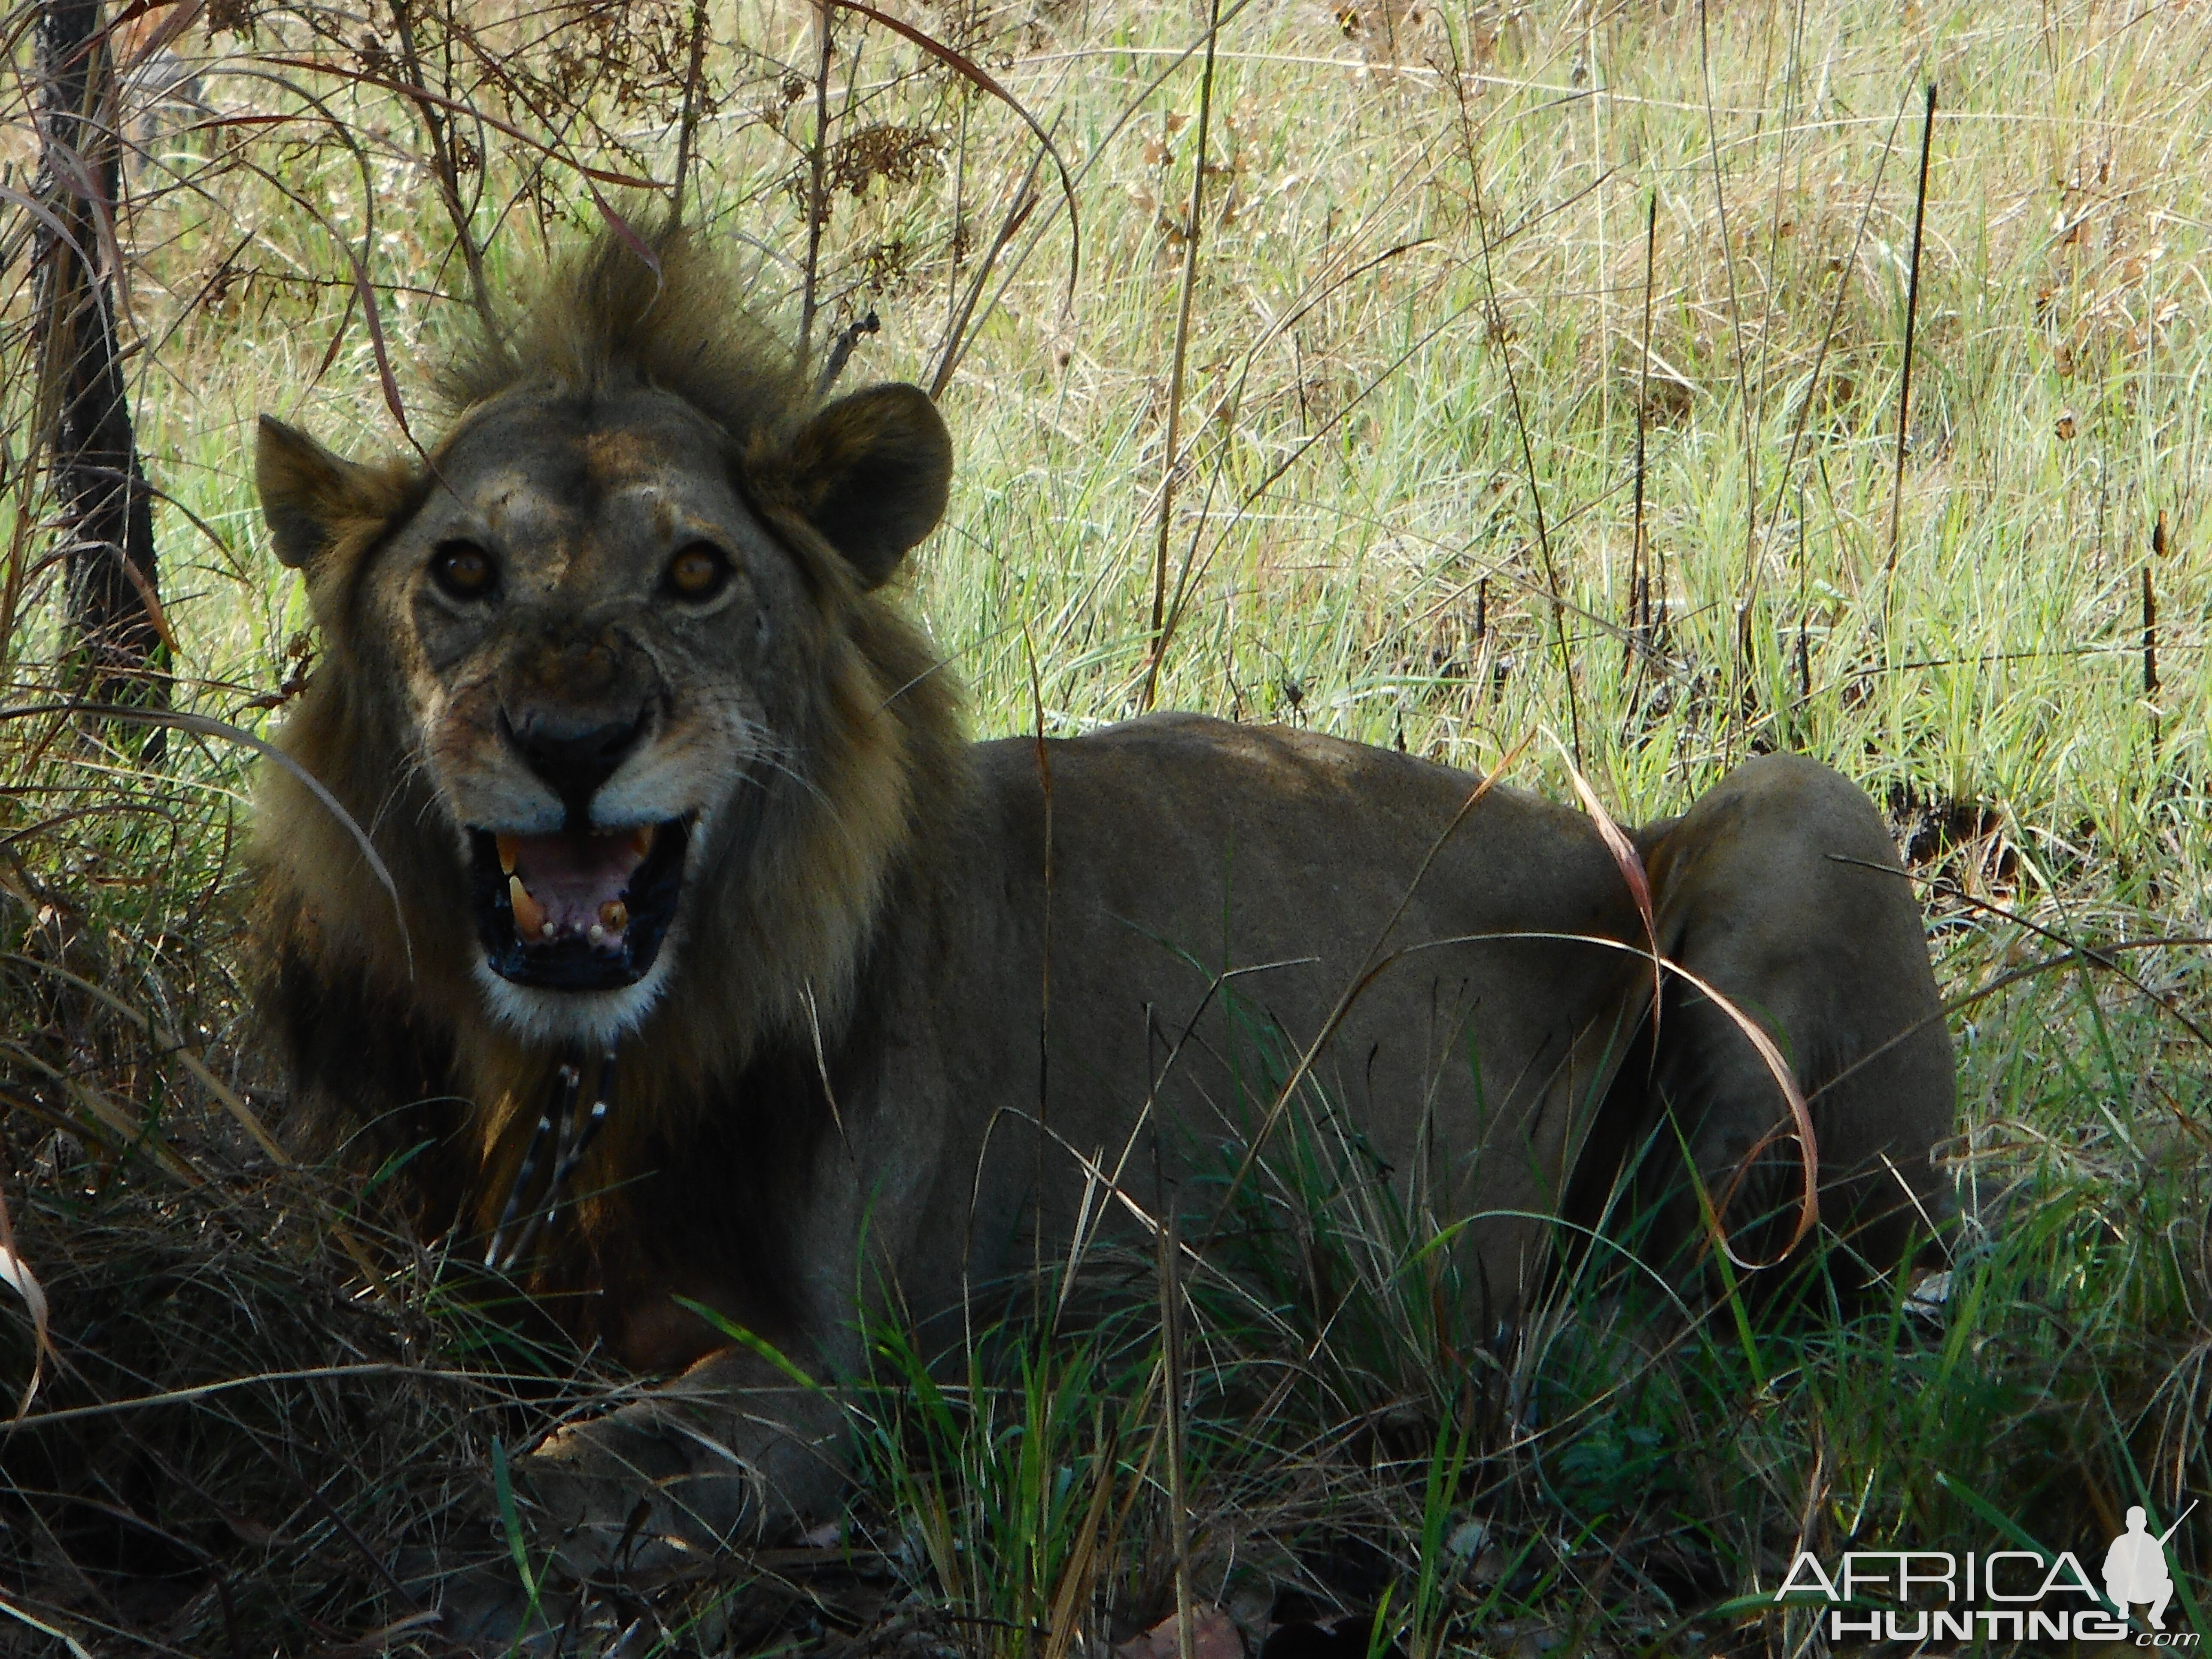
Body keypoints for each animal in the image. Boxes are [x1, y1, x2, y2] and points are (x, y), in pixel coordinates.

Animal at [251, 224, 1955, 1637]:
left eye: (695, 573)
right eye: (460, 571)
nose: (571, 739)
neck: (563, 1078)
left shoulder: (819, 1375)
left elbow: (548, 1472)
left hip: (1803, 813)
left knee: (1698, 1315)